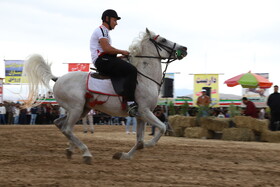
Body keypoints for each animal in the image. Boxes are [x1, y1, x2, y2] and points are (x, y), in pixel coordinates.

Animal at [23, 28, 187, 164]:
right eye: (163, 40)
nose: (184, 48)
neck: (144, 78)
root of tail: (57, 78)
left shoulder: (141, 116)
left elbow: (139, 140)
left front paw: (124, 155)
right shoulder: (145, 111)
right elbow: (161, 129)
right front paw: (147, 145)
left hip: (81, 110)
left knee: (61, 124)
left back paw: (70, 150)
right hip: (76, 109)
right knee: (67, 129)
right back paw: (86, 153)